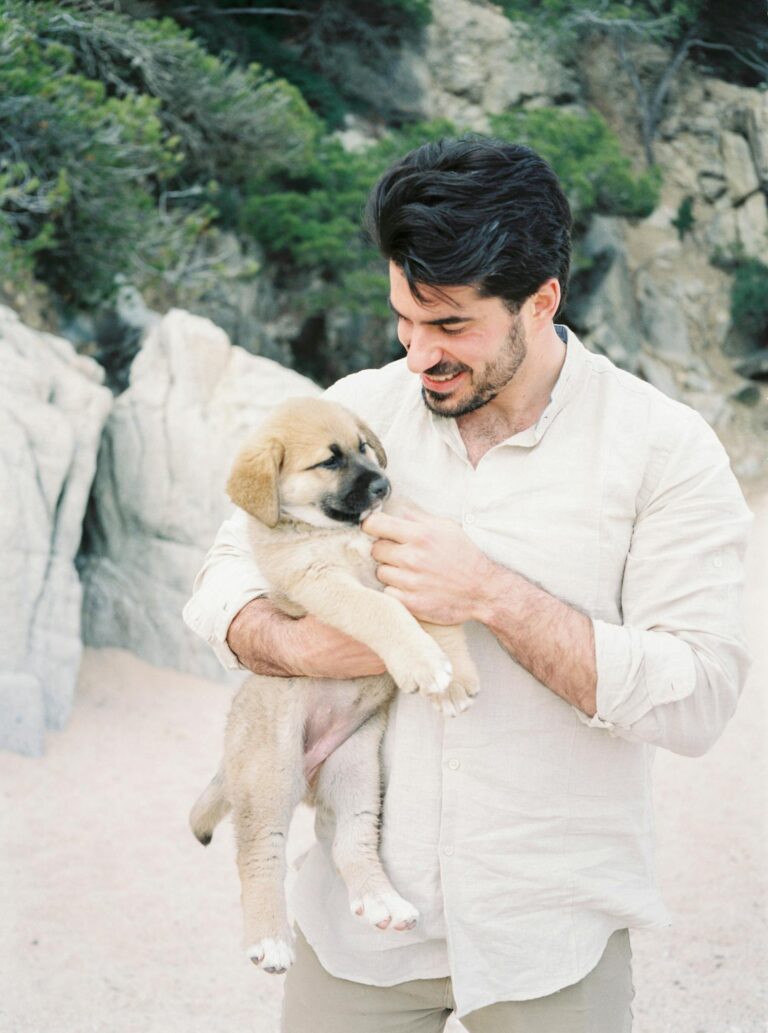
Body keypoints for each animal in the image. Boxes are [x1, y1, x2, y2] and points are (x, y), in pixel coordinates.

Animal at [190, 396, 477, 975]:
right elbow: (382, 611)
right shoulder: (323, 584)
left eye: (364, 447)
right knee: (259, 855)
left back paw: (382, 901)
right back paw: (270, 939)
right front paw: (425, 664)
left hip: (357, 769)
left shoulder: (405, 562)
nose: (383, 486)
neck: (338, 532)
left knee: (352, 844)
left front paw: (453, 675)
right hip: (270, 774)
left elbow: (432, 615)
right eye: (329, 461)